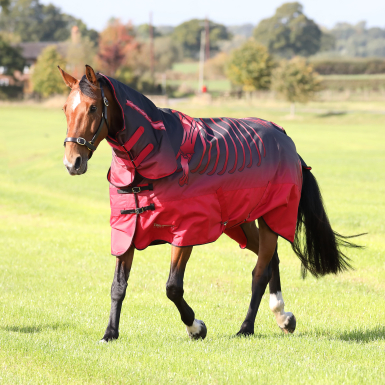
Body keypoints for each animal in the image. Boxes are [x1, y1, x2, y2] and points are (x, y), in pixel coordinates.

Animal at [57, 64, 360, 340]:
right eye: (65, 109)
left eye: (93, 108)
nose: (73, 162)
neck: (156, 156)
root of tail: (286, 140)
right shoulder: (127, 229)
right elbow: (118, 285)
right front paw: (110, 333)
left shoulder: (187, 231)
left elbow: (172, 287)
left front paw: (196, 327)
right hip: (241, 223)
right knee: (270, 258)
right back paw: (282, 316)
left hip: (272, 216)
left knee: (260, 272)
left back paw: (246, 327)